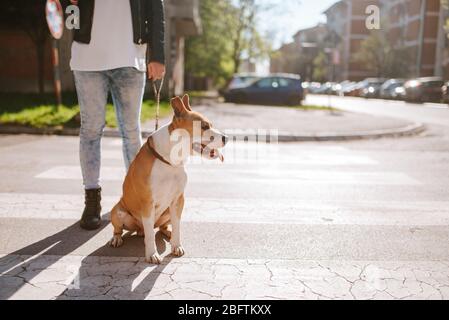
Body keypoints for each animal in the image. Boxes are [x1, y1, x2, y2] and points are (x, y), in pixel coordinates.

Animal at [109, 94, 228, 264]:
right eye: (204, 126)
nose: (226, 138)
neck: (170, 160)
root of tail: (139, 230)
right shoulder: (147, 202)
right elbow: (150, 236)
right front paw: (152, 254)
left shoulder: (178, 200)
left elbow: (178, 226)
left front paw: (176, 245)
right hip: (118, 211)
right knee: (125, 229)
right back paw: (117, 238)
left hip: (166, 212)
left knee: (161, 227)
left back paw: (169, 233)